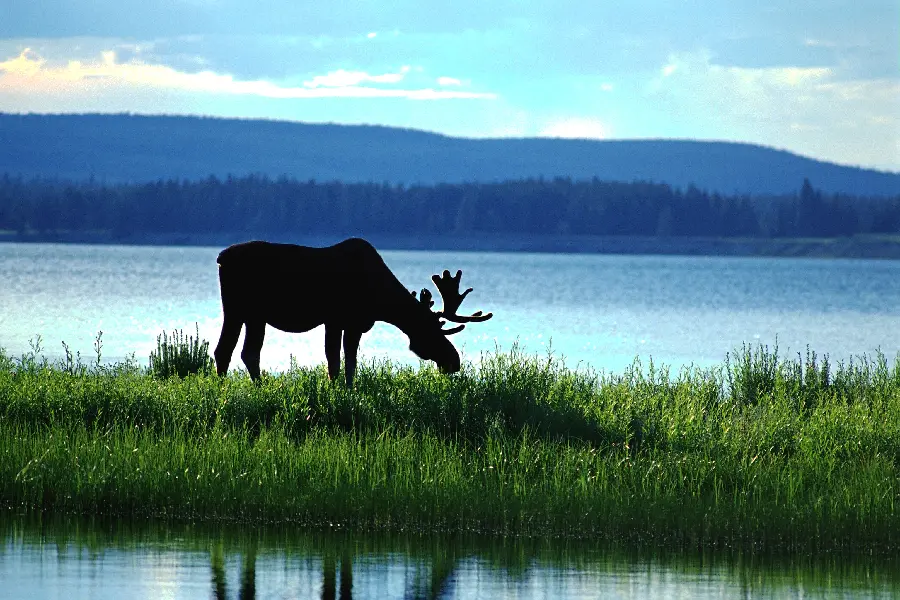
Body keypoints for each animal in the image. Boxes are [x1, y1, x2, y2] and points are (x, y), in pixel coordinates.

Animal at [213, 237, 492, 386]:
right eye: (434, 331)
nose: (454, 361)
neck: (380, 301)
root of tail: (220, 258)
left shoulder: (356, 324)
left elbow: (350, 361)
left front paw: (349, 390)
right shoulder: (335, 319)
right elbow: (334, 360)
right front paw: (335, 389)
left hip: (250, 315)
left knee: (238, 351)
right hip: (241, 310)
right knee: (233, 351)